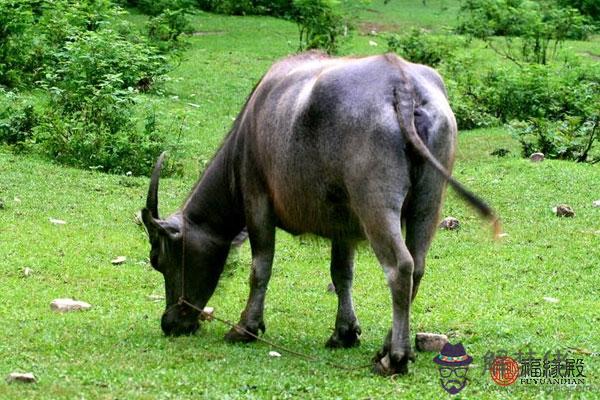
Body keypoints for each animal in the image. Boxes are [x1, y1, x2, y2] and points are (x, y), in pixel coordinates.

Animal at [141, 52, 496, 376]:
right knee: (418, 265)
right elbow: (342, 274)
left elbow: (260, 268)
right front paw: (344, 333)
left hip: (375, 202)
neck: (245, 137)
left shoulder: (257, 200)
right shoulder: (343, 225)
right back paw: (388, 347)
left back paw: (393, 357)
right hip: (429, 200)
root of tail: (403, 84)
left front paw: (245, 328)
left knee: (400, 267)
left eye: (158, 259)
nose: (169, 322)